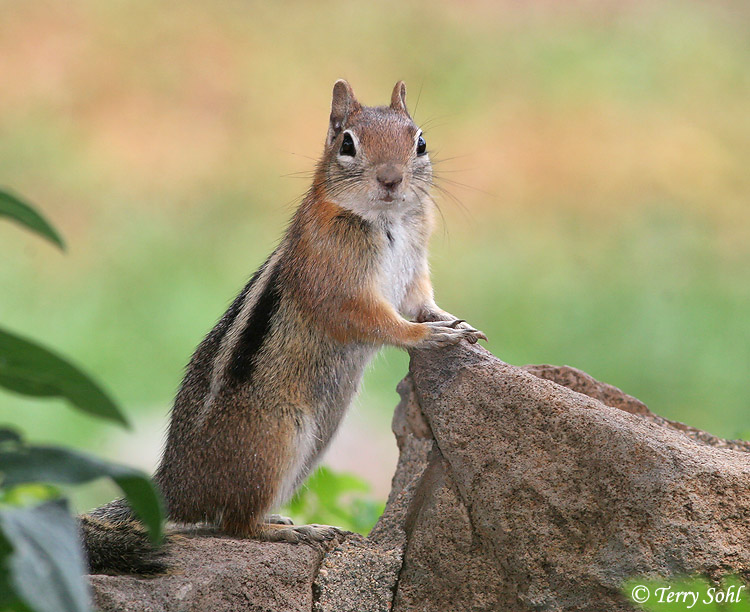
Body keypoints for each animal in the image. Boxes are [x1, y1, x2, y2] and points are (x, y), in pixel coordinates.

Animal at [82, 79, 488, 572]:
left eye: (421, 143)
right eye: (347, 144)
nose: (391, 179)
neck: (386, 220)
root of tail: (174, 485)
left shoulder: (413, 278)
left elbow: (423, 304)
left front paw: (455, 323)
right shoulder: (337, 288)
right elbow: (377, 322)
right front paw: (431, 336)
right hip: (278, 440)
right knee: (235, 524)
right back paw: (293, 531)